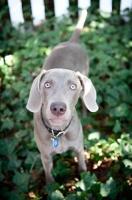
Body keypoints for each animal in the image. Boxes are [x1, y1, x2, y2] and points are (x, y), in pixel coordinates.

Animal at [26, 9, 98, 184]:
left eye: (73, 86)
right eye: (47, 85)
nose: (58, 108)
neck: (58, 132)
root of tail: (72, 42)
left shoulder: (79, 150)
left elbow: (83, 168)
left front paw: (86, 181)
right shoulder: (45, 157)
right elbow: (49, 177)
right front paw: (51, 186)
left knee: (85, 103)